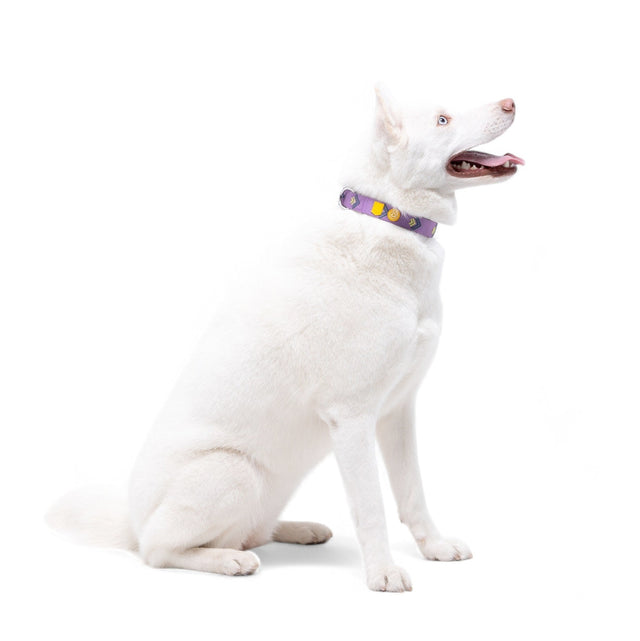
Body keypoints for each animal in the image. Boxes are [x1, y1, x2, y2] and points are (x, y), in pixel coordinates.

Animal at [47, 86, 523, 592]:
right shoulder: (353, 417)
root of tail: (131, 521)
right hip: (233, 472)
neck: (389, 216)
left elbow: (412, 492)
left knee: (252, 531)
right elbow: (371, 506)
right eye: (442, 119)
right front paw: (382, 572)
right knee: (159, 551)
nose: (511, 102)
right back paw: (226, 560)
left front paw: (433, 546)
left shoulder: (398, 411)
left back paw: (296, 529)